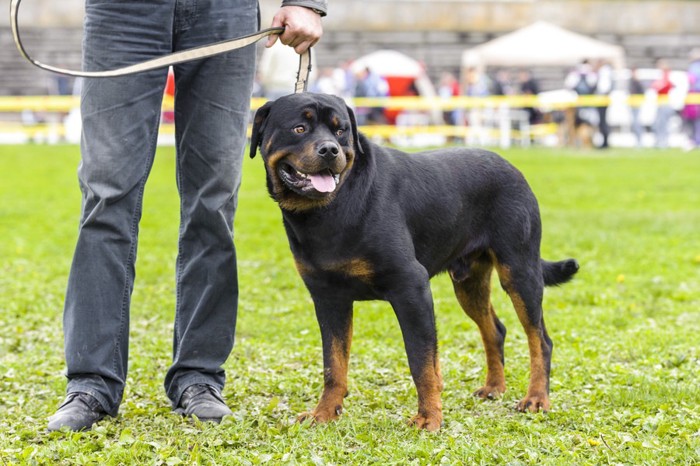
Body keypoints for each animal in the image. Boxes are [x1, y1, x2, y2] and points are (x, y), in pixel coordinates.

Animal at [252, 93, 580, 432]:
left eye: (340, 131)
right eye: (299, 128)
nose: (329, 149)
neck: (330, 209)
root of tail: (512, 168)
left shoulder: (411, 287)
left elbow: (421, 361)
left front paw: (428, 417)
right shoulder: (328, 298)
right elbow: (333, 364)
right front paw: (324, 413)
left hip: (519, 271)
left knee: (540, 339)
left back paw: (536, 398)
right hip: (469, 282)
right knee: (496, 330)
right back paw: (493, 388)